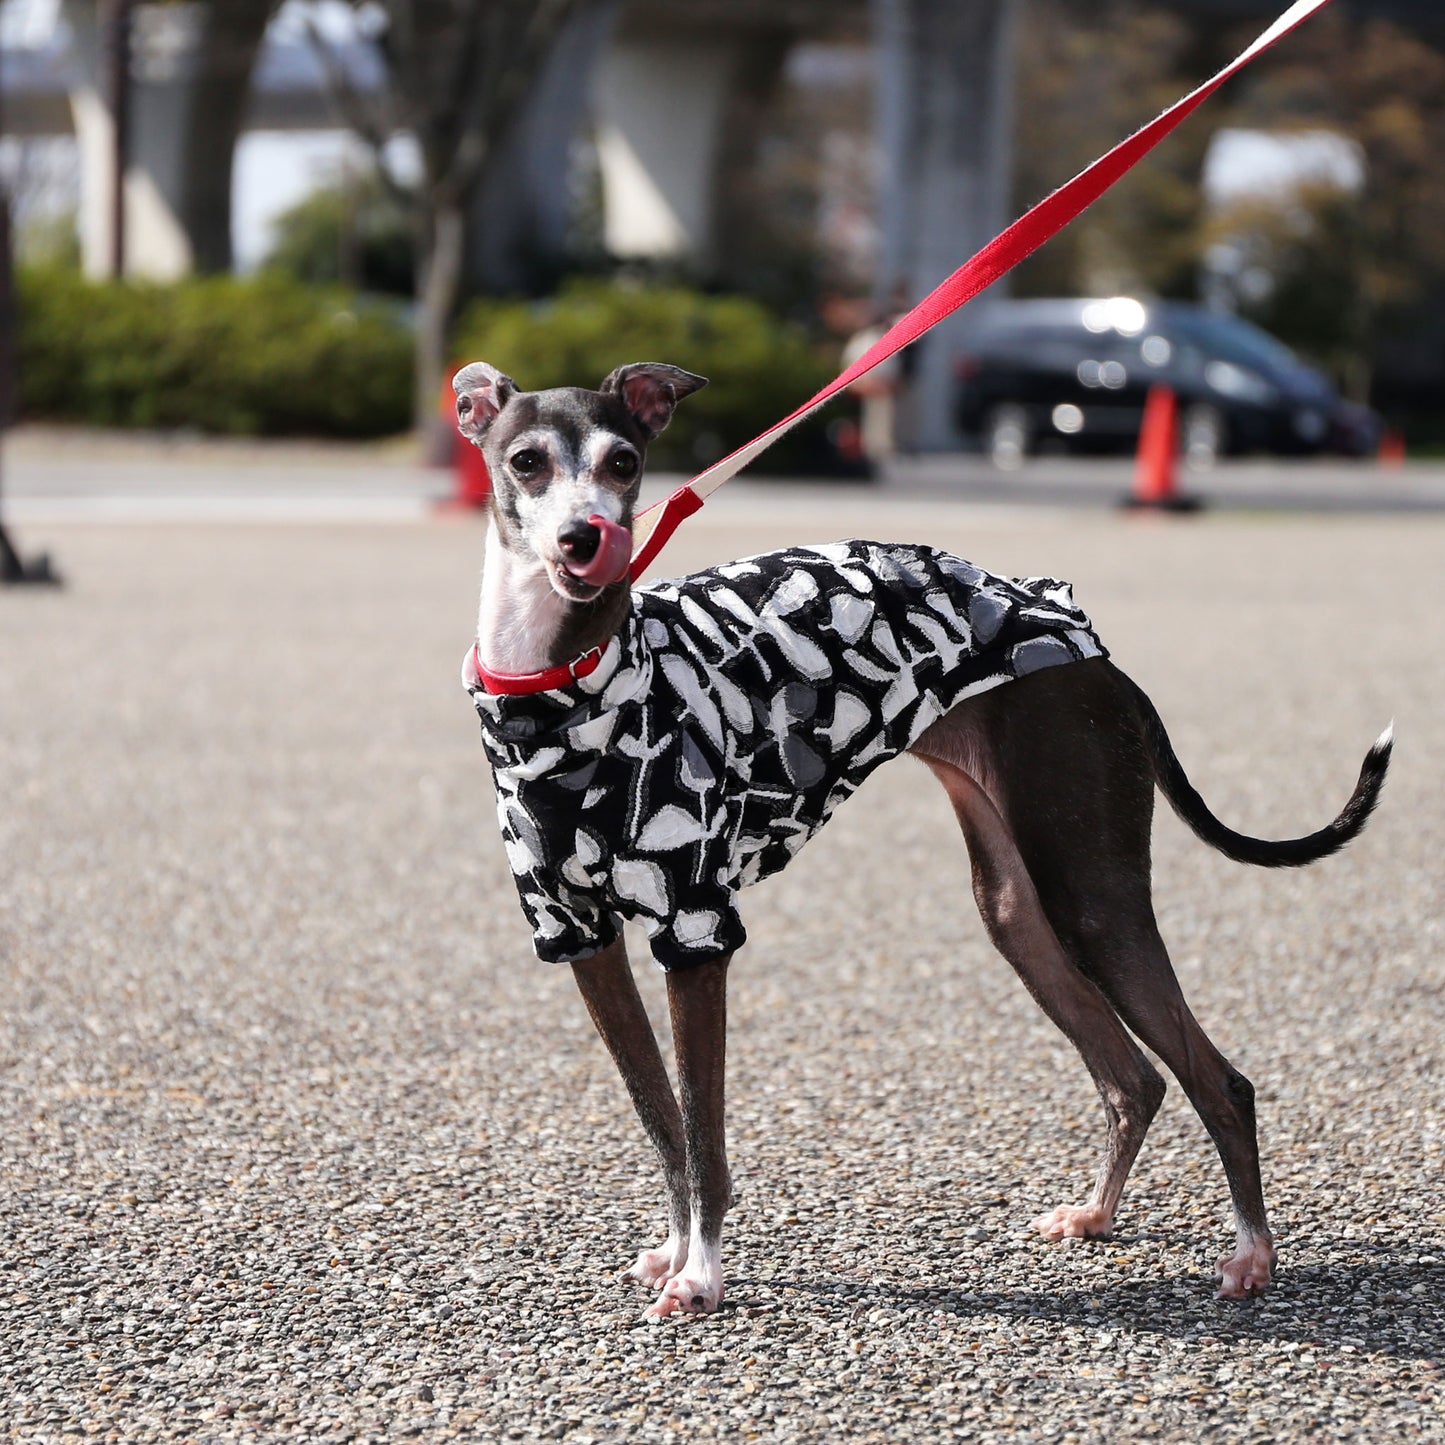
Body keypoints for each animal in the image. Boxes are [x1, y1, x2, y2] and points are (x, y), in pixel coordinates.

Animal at [456, 361, 1392, 1323]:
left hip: (1089, 896)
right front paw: (677, 1253)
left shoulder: (697, 932)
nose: (585, 540)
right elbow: (661, 1121)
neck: (559, 682)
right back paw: (1095, 1214)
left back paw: (1252, 1255)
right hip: (1014, 910)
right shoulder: (581, 937)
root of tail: (1102, 660)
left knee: (1218, 1079)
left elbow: (701, 1129)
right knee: (1133, 1077)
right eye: (526, 460)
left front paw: (702, 1270)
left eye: (624, 461)